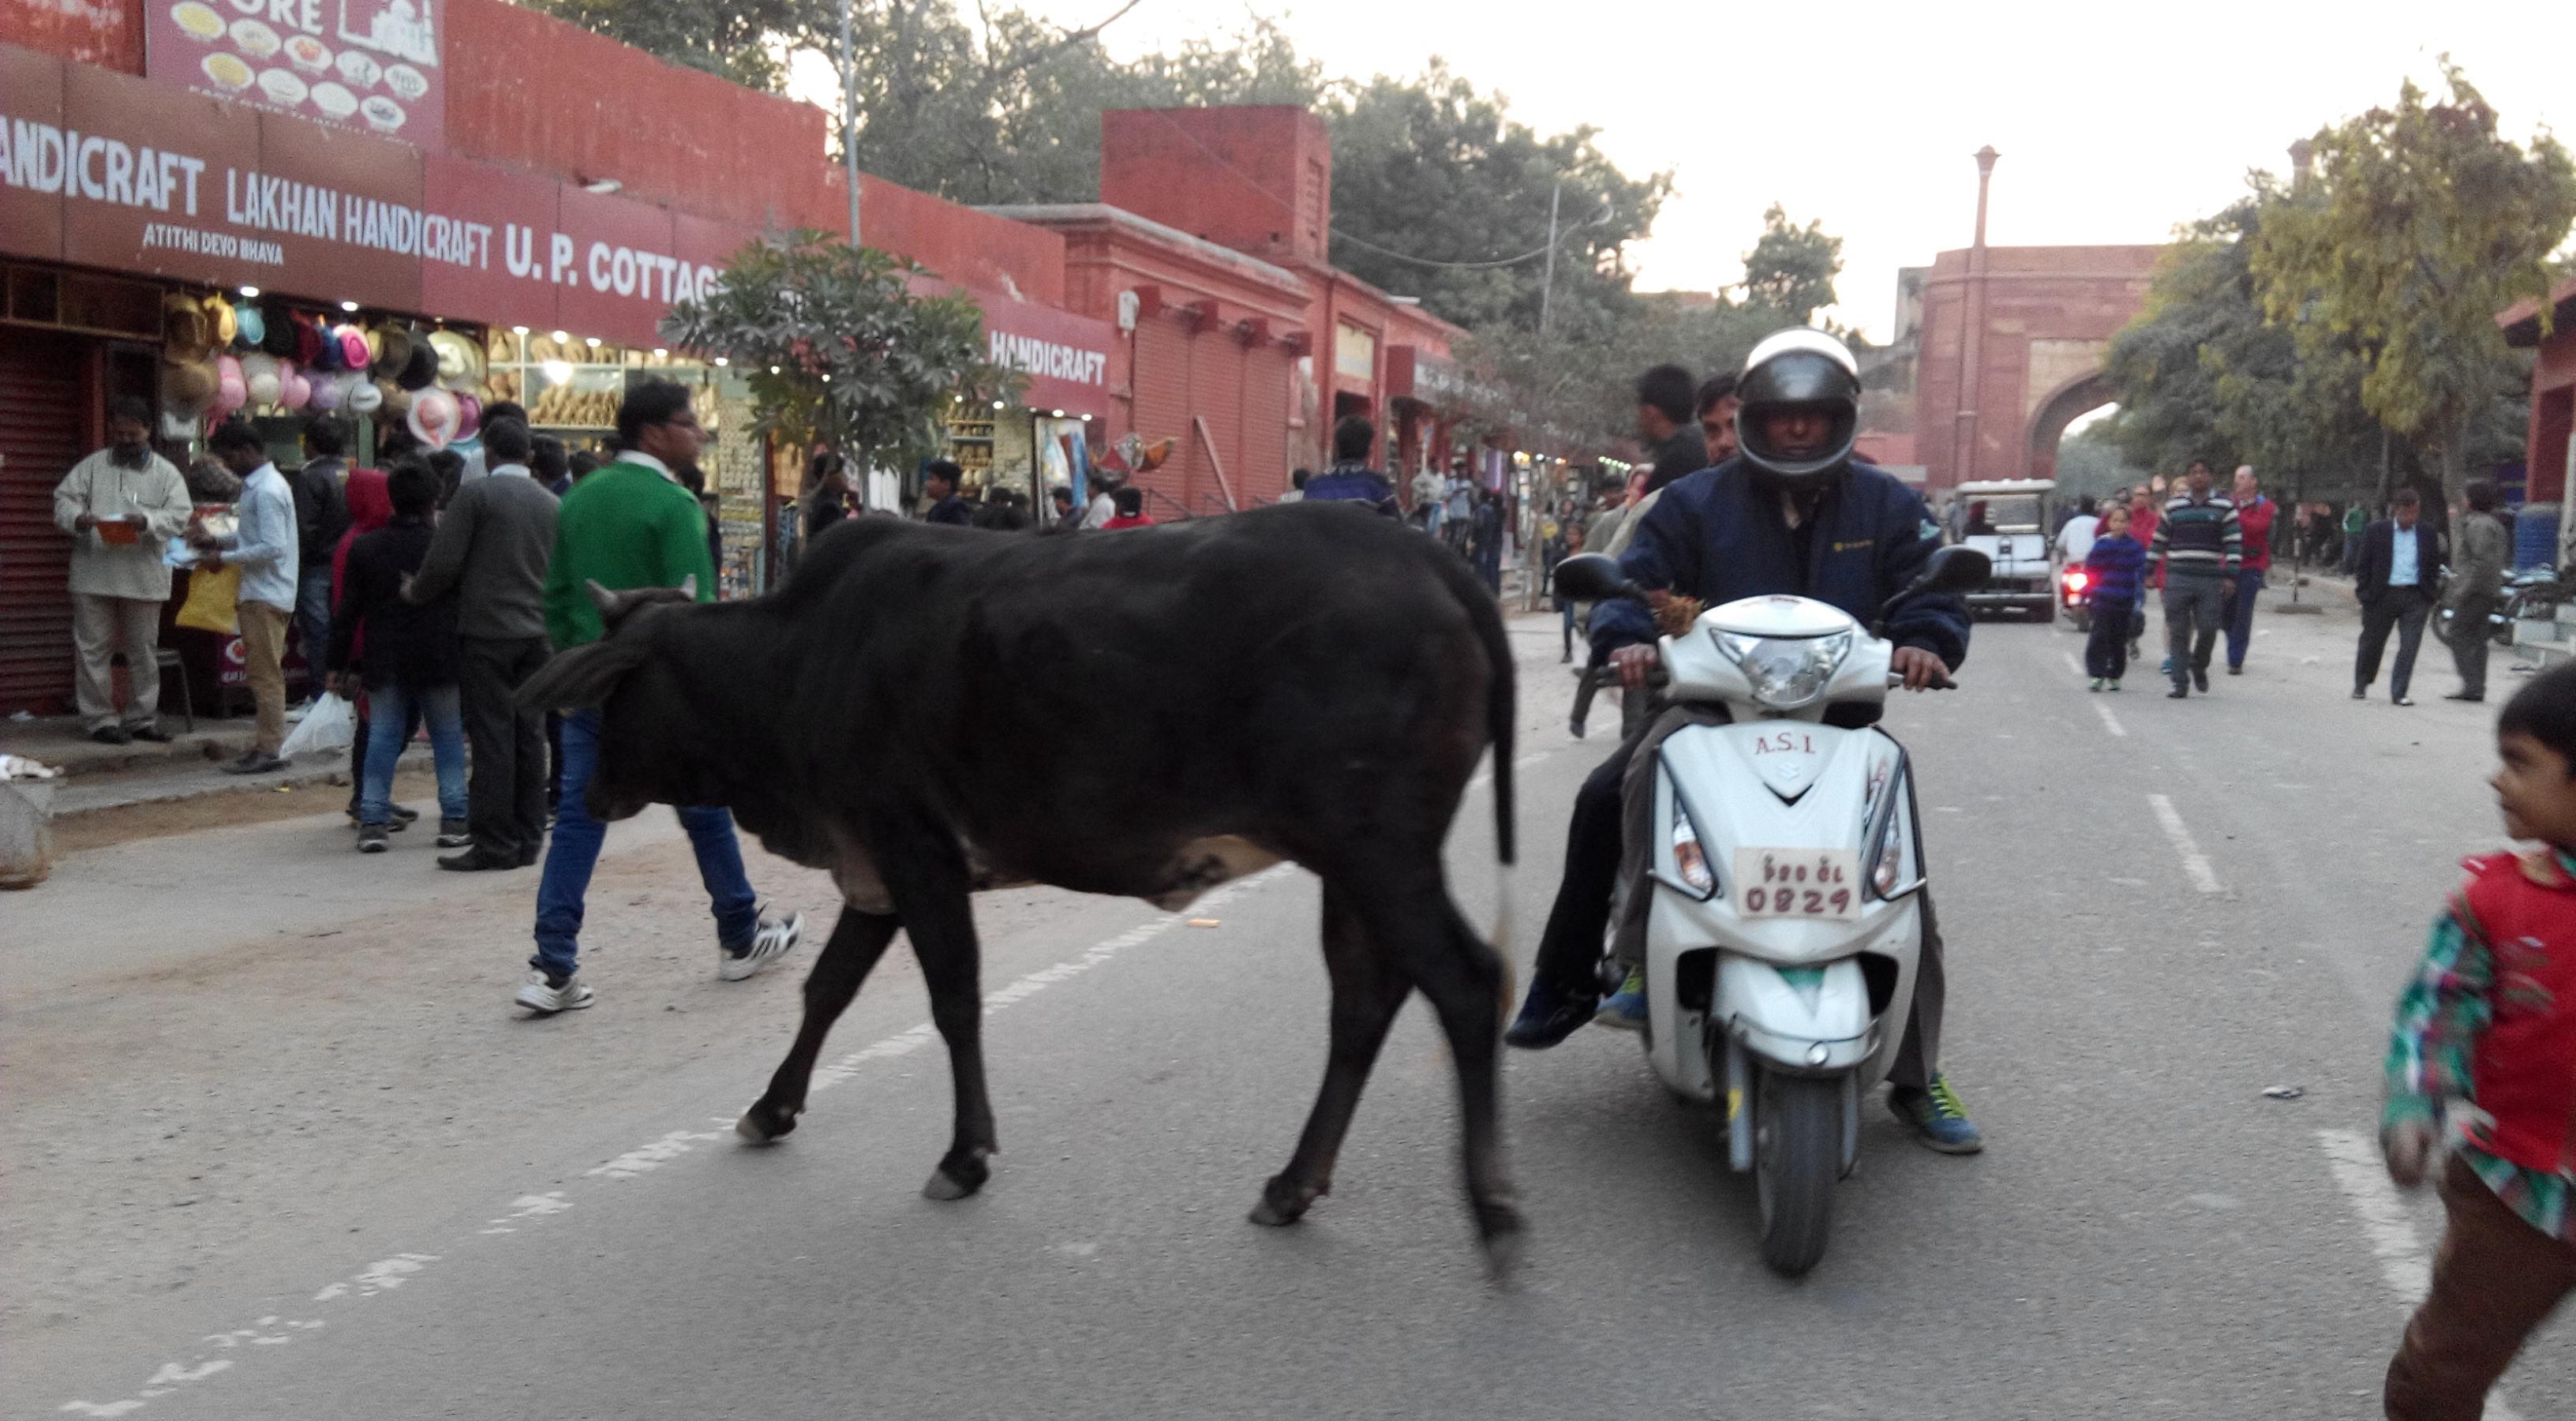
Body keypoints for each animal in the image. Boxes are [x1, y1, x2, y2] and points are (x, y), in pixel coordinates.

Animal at [528, 505, 1525, 1263]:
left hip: (1379, 852)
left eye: (617, 692)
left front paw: (964, 1156)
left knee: (1468, 984)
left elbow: (954, 1001)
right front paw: (771, 1109)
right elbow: (828, 990)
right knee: (1364, 1003)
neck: (801, 659)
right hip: (1349, 867)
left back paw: (1493, 1209)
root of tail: (1433, 559)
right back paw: (1292, 1186)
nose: (588, 790)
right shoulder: (878, 870)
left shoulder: (916, 852)